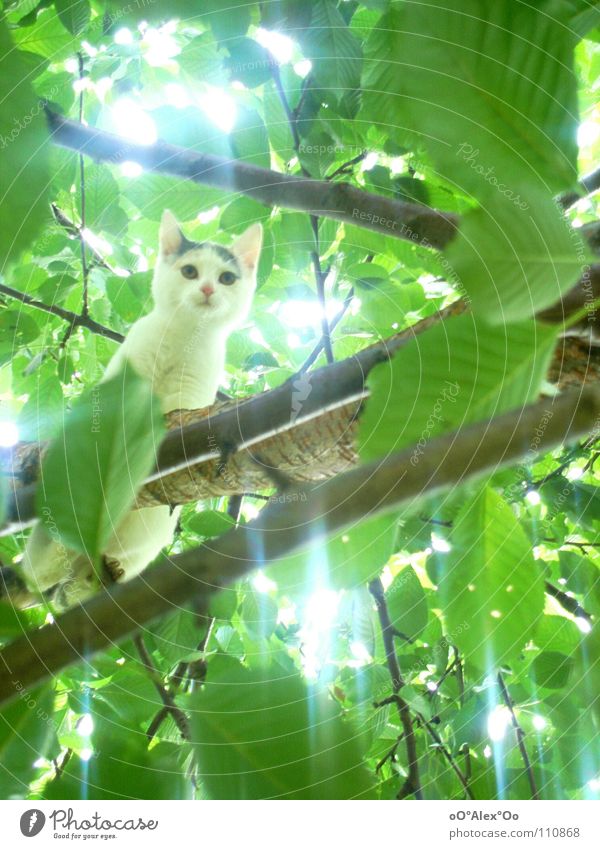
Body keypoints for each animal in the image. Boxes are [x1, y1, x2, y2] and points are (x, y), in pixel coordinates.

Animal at [21, 214, 260, 608]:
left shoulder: (193, 388)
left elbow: (180, 411)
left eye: (227, 278)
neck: (184, 335)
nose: (208, 289)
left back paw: (105, 573)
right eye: (190, 271)